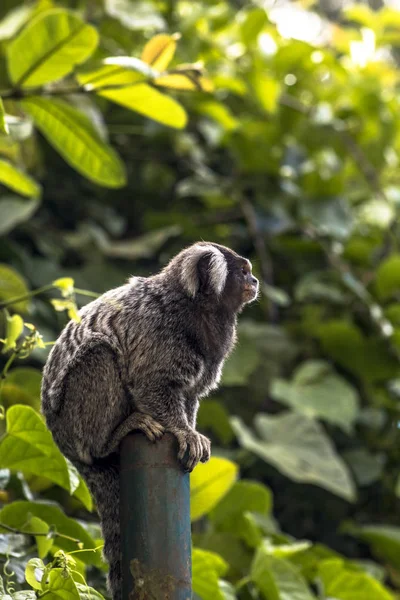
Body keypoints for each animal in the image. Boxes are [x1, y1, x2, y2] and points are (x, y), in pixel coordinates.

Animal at [41, 243, 260, 600]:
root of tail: (66, 447)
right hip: (73, 421)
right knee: (99, 354)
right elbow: (151, 384)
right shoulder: (157, 334)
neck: (196, 308)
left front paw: (191, 431)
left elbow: (189, 396)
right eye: (243, 271)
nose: (254, 281)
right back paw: (114, 436)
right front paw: (183, 432)